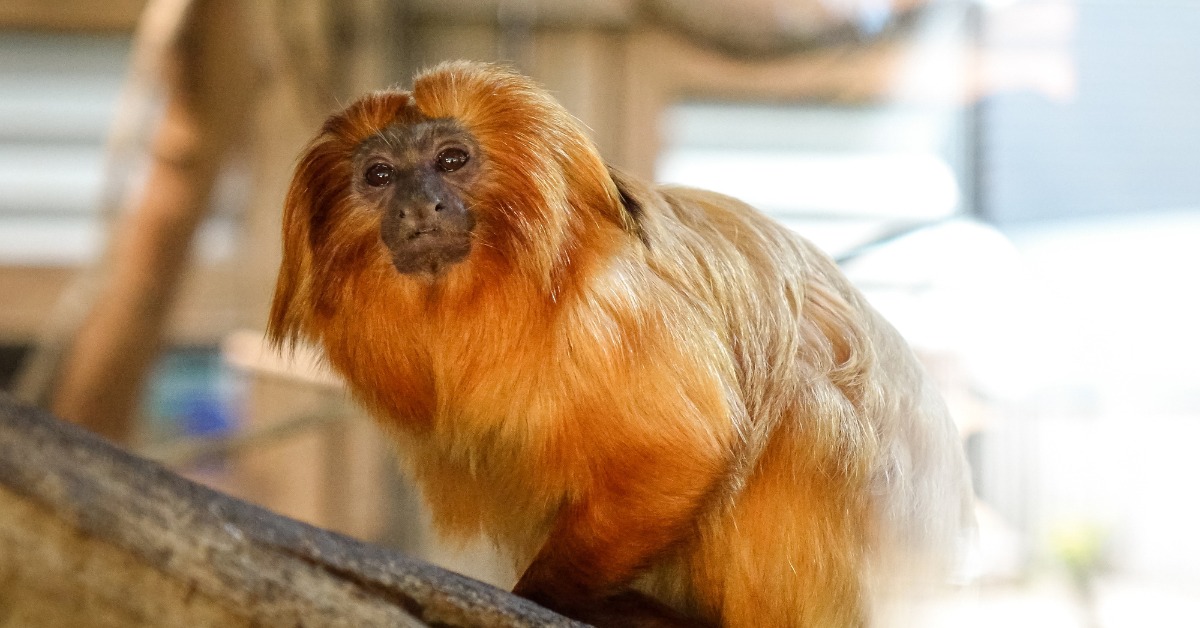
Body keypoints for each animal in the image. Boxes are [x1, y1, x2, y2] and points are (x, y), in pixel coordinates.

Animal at [269, 61, 973, 627]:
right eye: (380, 175)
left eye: (450, 161)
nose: (420, 207)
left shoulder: (614, 306)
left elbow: (686, 448)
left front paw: (551, 594)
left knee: (804, 413)